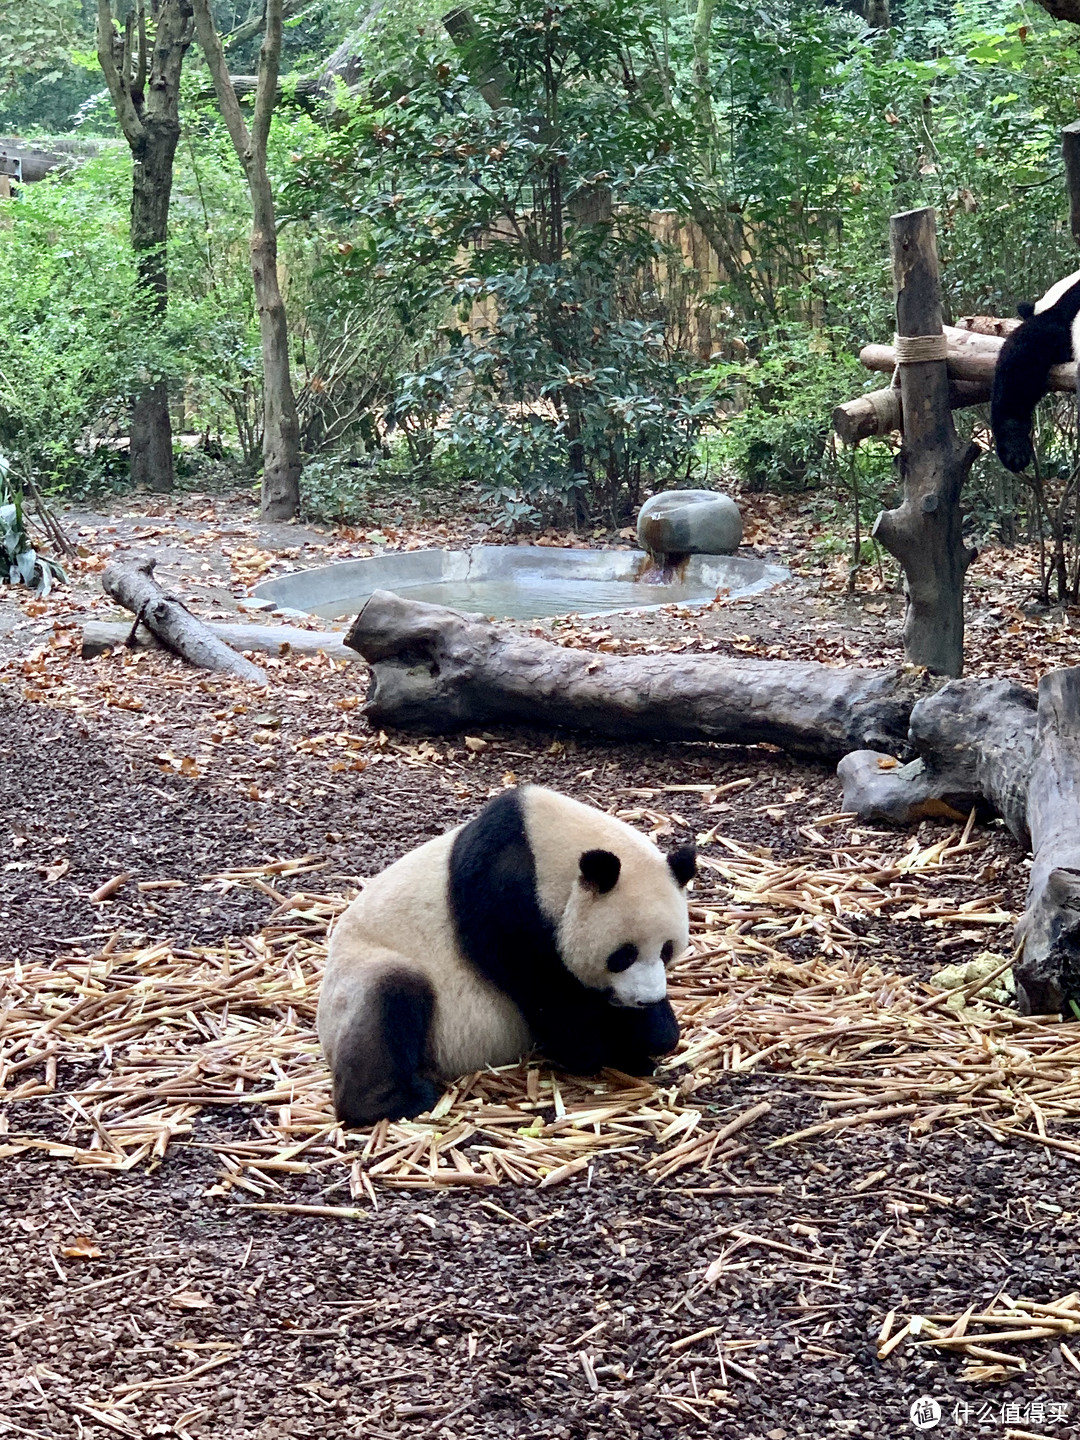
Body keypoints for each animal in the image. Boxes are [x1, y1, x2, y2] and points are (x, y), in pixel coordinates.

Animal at [316, 783, 696, 1128]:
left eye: (667, 950)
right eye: (623, 955)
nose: (647, 999)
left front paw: (653, 1034)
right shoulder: (505, 901)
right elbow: (550, 995)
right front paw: (604, 1050)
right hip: (363, 972)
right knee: (387, 998)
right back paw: (398, 1100)